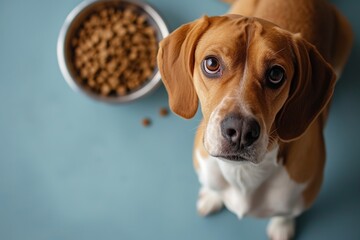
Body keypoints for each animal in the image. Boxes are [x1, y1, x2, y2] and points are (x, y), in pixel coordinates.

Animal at [157, 0, 352, 238]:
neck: (242, 174)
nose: (241, 130)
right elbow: (213, 187)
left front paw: (281, 226)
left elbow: (286, 213)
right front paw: (212, 196)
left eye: (276, 74)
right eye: (211, 63)